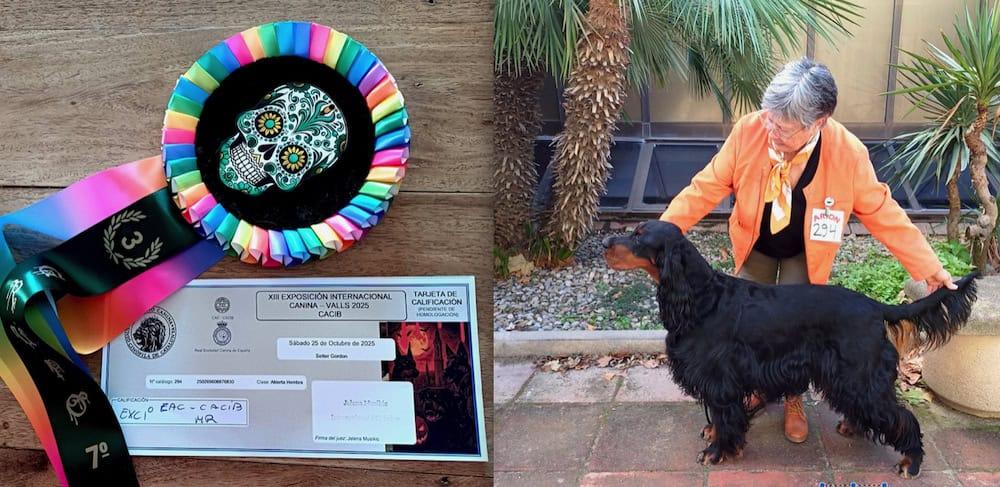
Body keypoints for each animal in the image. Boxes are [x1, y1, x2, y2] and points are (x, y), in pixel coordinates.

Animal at [602, 220, 979, 478]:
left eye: (638, 236)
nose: (605, 241)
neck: (700, 297)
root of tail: (875, 306)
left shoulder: (719, 378)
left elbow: (723, 415)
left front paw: (717, 450)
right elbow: (718, 414)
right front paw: (714, 434)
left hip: (860, 375)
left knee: (902, 417)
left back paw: (910, 462)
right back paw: (853, 426)